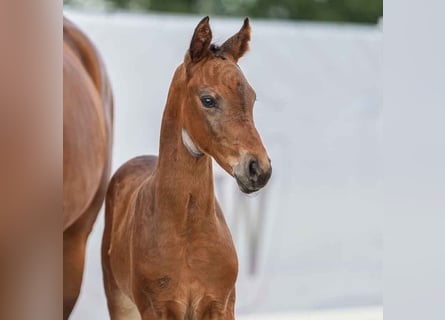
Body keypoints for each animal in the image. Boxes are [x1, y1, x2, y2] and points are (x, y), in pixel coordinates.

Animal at [103, 17, 270, 320]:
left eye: (252, 98)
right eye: (208, 99)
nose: (258, 168)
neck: (187, 229)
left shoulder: (221, 304)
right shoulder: (157, 308)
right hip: (121, 302)